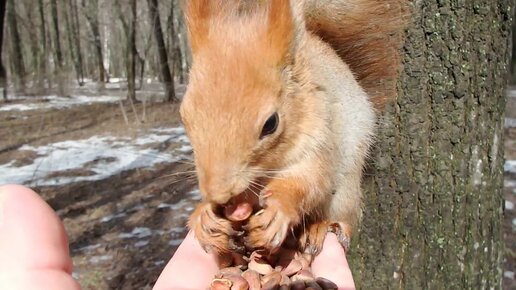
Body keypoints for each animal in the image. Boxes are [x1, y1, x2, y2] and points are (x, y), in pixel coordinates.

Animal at [179, 0, 410, 260]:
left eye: (271, 123)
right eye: (184, 115)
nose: (217, 193)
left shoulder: (321, 136)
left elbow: (311, 181)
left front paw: (278, 210)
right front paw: (204, 216)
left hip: (346, 192)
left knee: (345, 218)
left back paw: (322, 227)